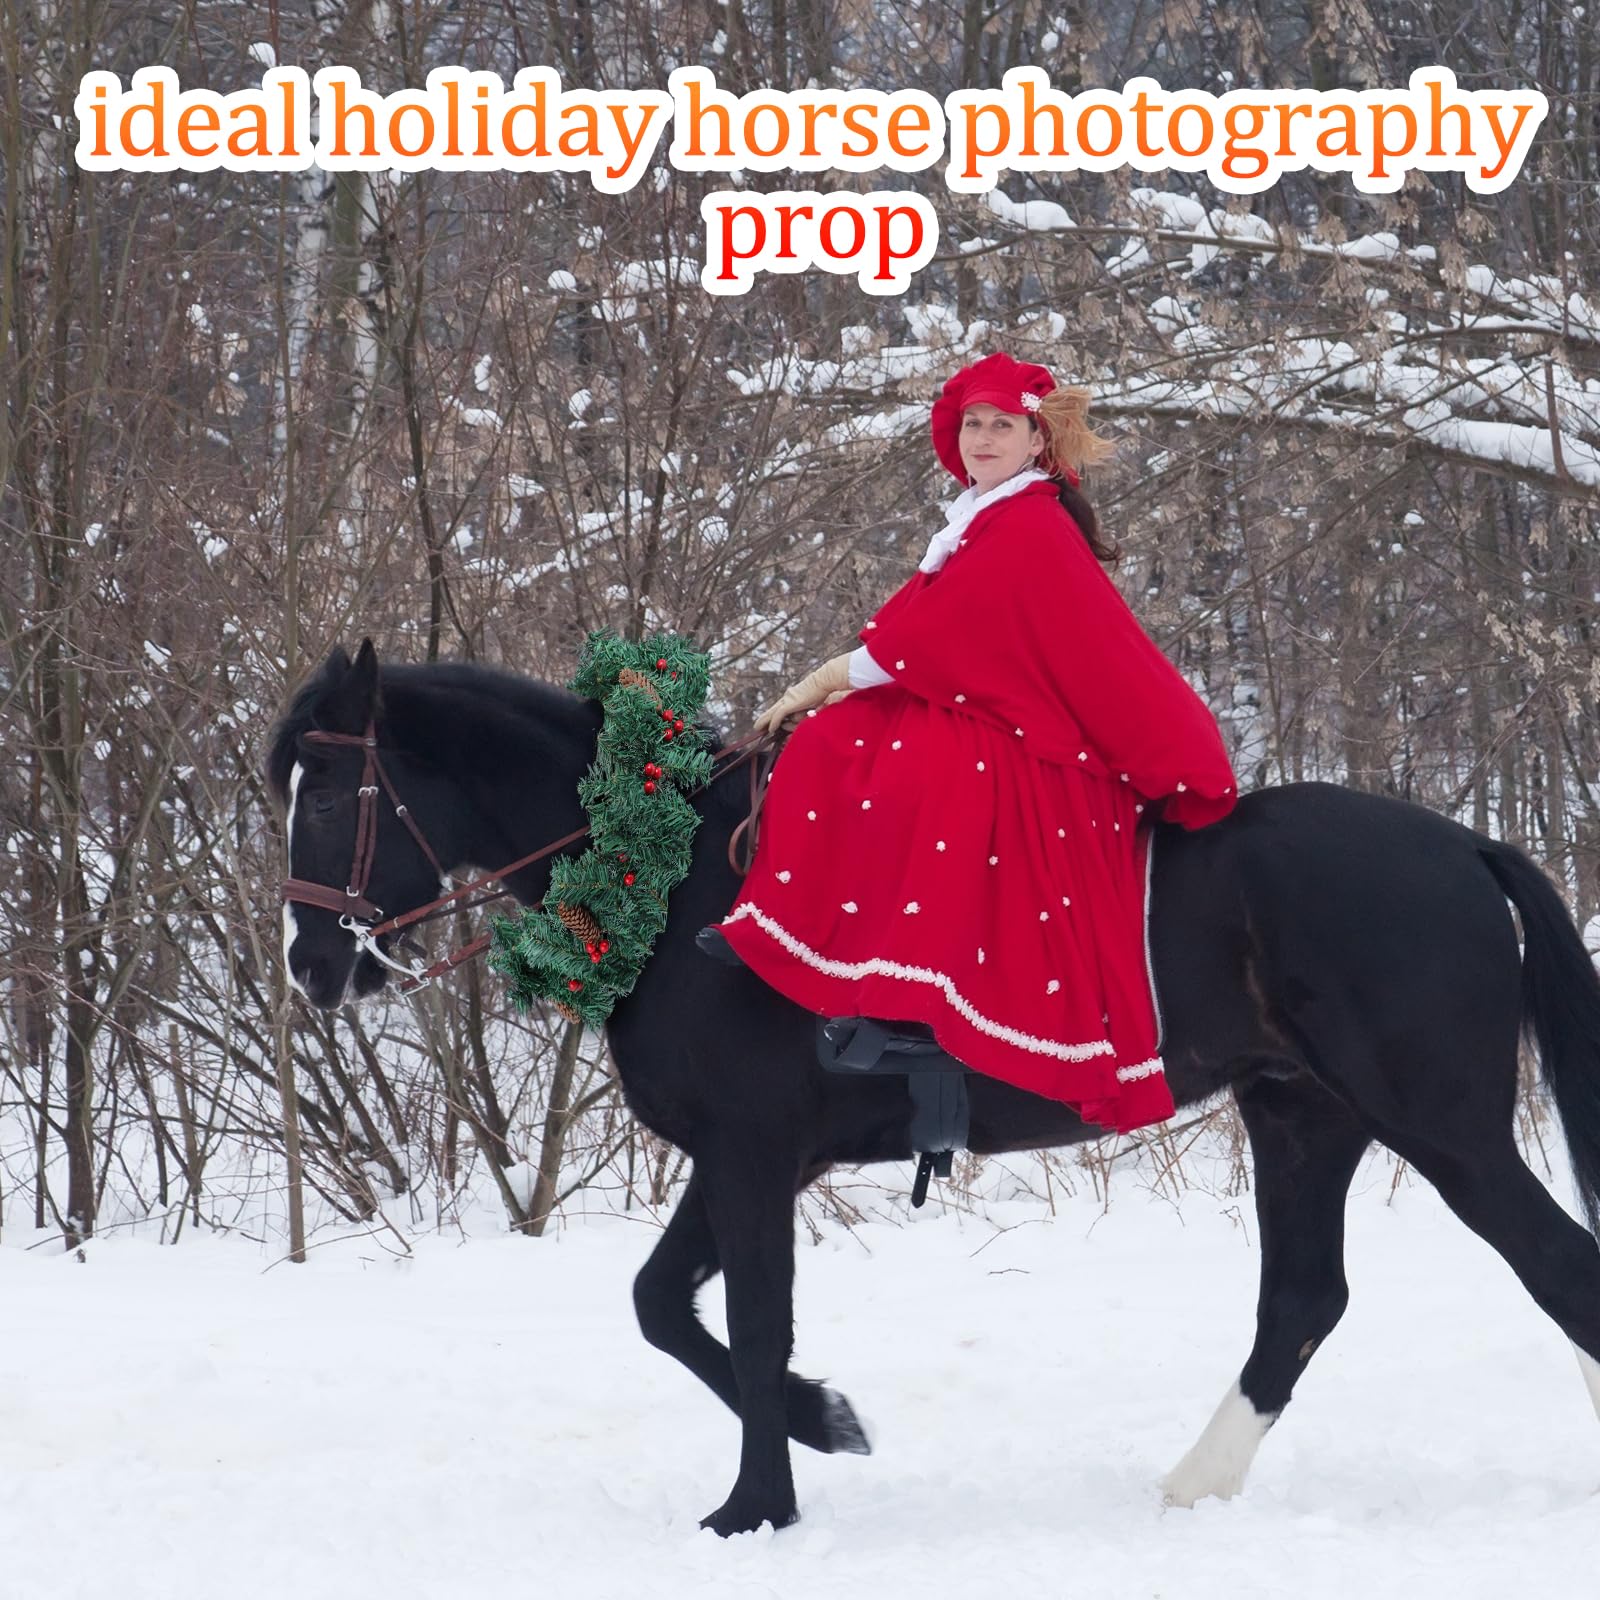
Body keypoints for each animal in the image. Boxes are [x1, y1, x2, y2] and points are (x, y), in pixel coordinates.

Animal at [267, 638, 1600, 1536]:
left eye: (325, 794)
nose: (311, 965)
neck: (676, 879)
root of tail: (1461, 843)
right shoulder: (743, 1154)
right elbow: (662, 1305)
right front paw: (824, 1419)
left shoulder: (751, 1152)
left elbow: (751, 1322)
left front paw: (756, 1505)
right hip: (1302, 1117)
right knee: (1302, 1302)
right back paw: (1190, 1485)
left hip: (1440, 1127)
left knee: (1553, 1268)